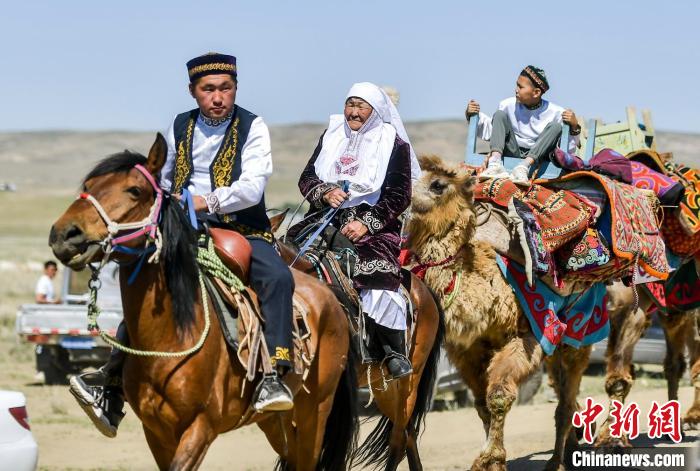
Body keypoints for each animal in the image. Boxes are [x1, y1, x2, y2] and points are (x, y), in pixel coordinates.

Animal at [47, 135, 360, 470]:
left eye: (134, 190)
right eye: (89, 185)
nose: (65, 234)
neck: (171, 336)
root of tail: (332, 300)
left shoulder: (200, 427)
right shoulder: (155, 431)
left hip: (315, 410)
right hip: (274, 420)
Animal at [408, 156, 588, 471]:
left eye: (437, 184)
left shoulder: (526, 338)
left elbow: (499, 397)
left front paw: (489, 458)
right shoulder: (467, 350)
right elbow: (481, 405)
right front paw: (493, 461)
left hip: (580, 336)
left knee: (566, 402)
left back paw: (555, 462)